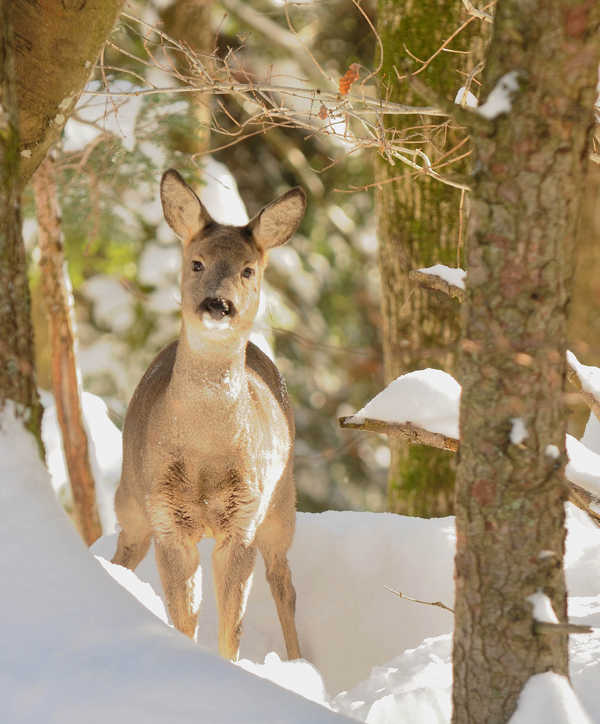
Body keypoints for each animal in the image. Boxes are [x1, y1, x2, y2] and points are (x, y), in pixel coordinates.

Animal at [113, 171, 308, 660]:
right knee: (123, 555)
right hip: (130, 496)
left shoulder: (243, 520)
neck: (205, 452)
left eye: (248, 270)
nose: (218, 305)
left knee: (284, 583)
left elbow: (230, 625)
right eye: (196, 262)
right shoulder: (166, 517)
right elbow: (187, 615)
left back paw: (298, 663)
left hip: (282, 505)